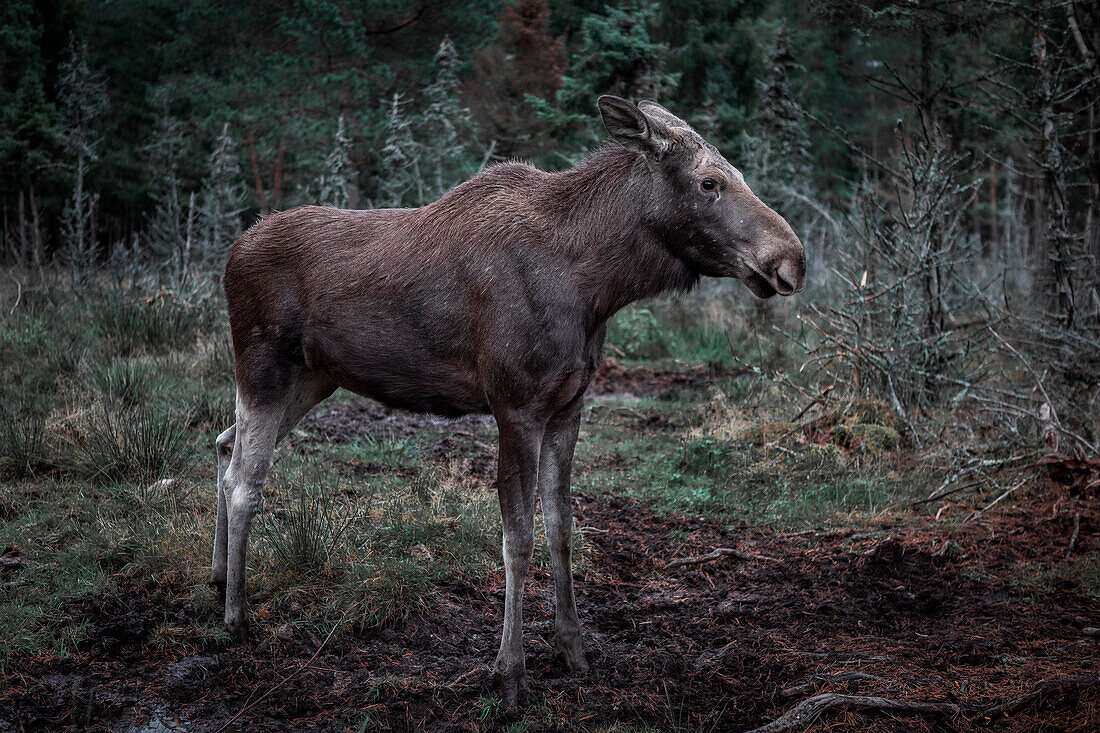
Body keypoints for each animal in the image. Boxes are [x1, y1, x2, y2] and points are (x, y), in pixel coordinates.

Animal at [210, 95, 805, 704]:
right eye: (710, 182)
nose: (792, 258)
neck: (597, 287)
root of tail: (231, 254)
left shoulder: (568, 408)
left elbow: (561, 527)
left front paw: (572, 649)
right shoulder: (516, 407)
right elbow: (517, 540)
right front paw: (511, 670)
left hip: (314, 379)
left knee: (226, 446)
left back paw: (217, 579)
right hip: (264, 367)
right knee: (246, 480)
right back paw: (237, 615)